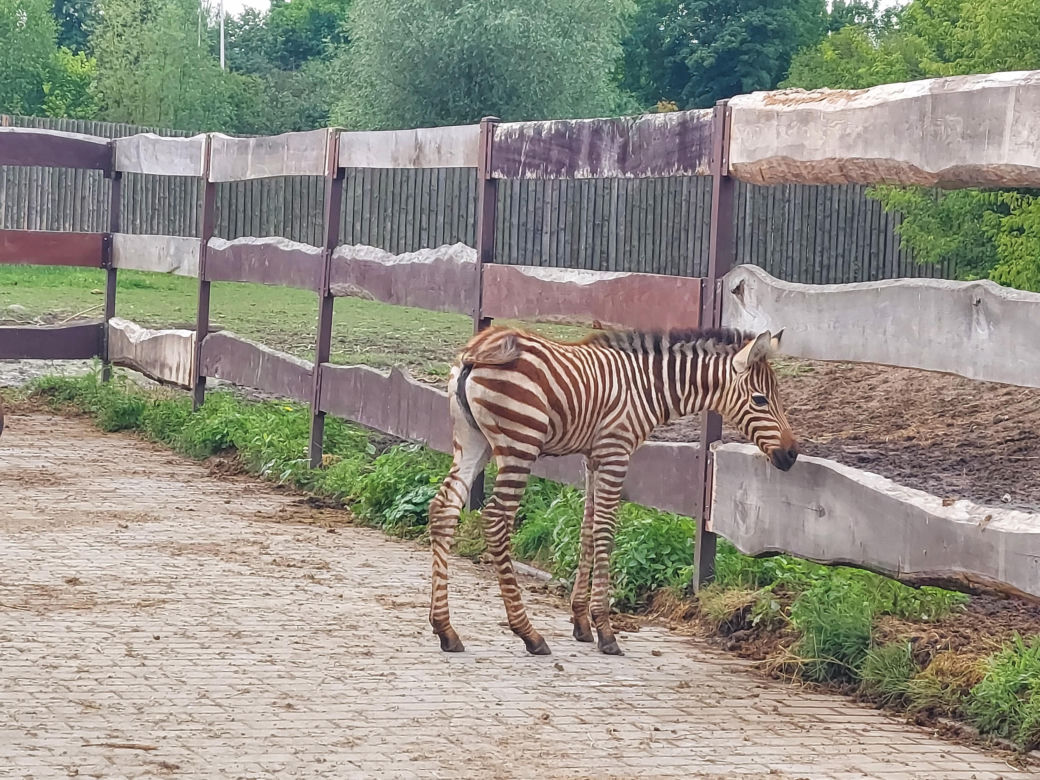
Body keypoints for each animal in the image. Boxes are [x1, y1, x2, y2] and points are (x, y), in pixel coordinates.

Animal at [428, 325, 799, 656]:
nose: (792, 454)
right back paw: (528, 634)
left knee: (444, 508)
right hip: (519, 445)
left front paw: (581, 623)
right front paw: (605, 630)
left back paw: (445, 629)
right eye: (760, 400)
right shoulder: (615, 452)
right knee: (496, 520)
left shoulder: (592, 458)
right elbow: (605, 531)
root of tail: (477, 351)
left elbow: (587, 529)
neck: (647, 387)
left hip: (472, 442)